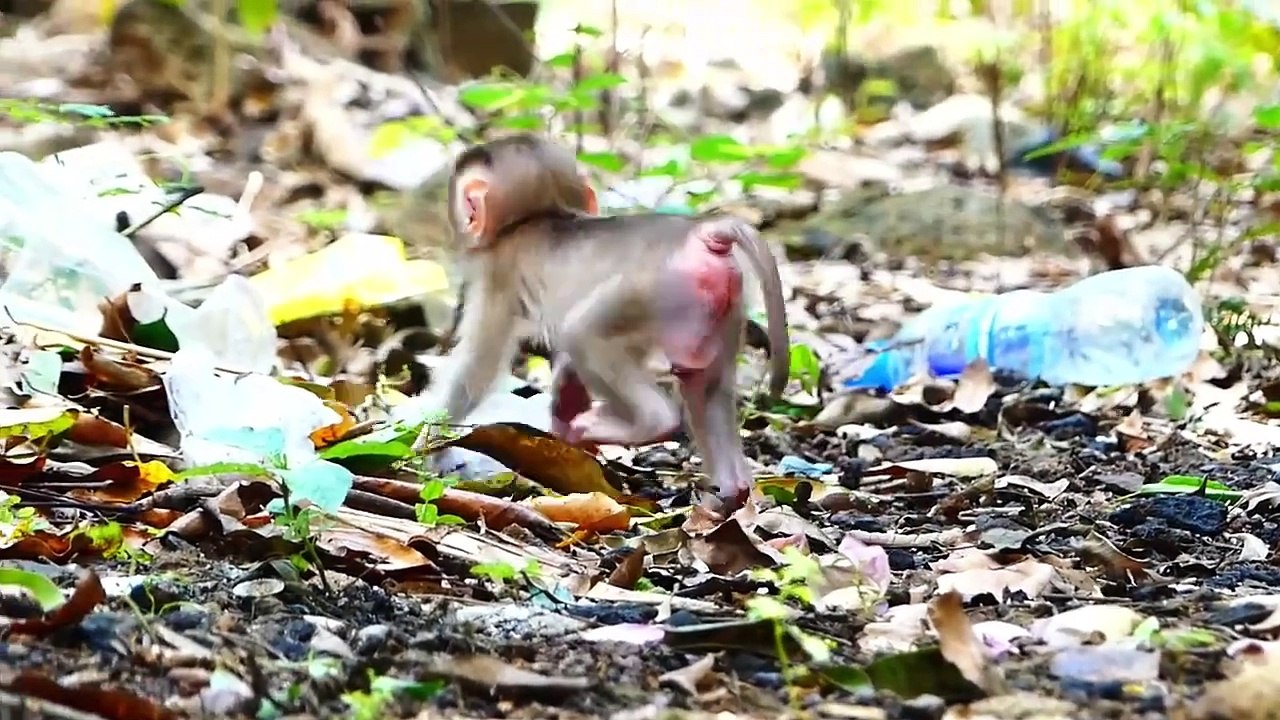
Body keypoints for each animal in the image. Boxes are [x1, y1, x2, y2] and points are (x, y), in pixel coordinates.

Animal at [424, 134, 790, 509]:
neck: (535, 217)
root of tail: (706, 235)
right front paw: (564, 406)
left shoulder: (499, 274)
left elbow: (477, 368)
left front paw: (430, 441)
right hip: (726, 311)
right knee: (704, 384)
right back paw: (733, 490)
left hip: (651, 292)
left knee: (583, 334)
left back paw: (628, 424)